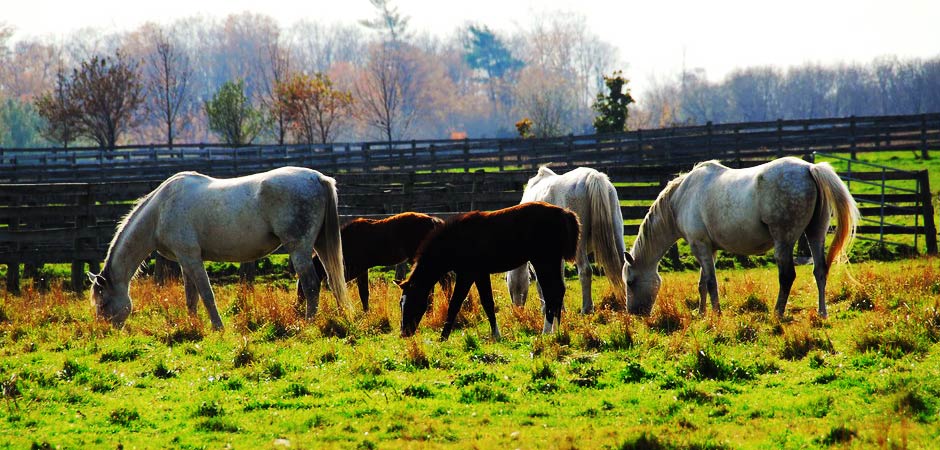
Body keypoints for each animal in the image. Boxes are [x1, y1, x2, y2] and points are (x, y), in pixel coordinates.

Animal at [88, 167, 350, 328]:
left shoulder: (192, 258)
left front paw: (217, 327)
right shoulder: (185, 261)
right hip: (319, 246)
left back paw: (307, 323)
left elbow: (206, 294)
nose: (106, 332)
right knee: (333, 281)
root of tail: (318, 178)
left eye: (103, 303)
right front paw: (192, 326)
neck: (160, 211)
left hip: (299, 249)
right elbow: (191, 297)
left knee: (311, 285)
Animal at [306, 213, 454, 312]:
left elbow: (342, 288)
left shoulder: (353, 270)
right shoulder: (362, 270)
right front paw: (365, 312)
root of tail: (434, 221)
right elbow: (363, 293)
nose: (302, 308)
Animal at [398, 202, 580, 340]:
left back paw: (546, 332)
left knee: (551, 293)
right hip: (551, 262)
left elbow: (455, 304)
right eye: (401, 303)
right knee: (558, 291)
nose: (404, 333)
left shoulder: (467, 274)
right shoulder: (480, 274)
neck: (456, 239)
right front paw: (496, 335)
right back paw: (556, 331)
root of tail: (563, 213)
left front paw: (443, 337)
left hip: (543, 261)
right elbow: (488, 303)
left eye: (413, 301)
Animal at [506, 165, 624, 312]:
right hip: (617, 231)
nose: (517, 311)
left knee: (585, 271)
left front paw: (545, 308)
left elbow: (541, 281)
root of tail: (593, 176)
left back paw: (586, 309)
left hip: (580, 244)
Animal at [624, 156, 860, 318]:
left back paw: (777, 312)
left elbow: (711, 282)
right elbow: (702, 283)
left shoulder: (699, 245)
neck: (682, 197)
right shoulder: (709, 249)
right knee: (820, 270)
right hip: (815, 234)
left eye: (630, 281)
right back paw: (822, 312)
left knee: (787, 276)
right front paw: (701, 313)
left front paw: (716, 314)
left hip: (783, 242)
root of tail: (809, 168)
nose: (634, 313)